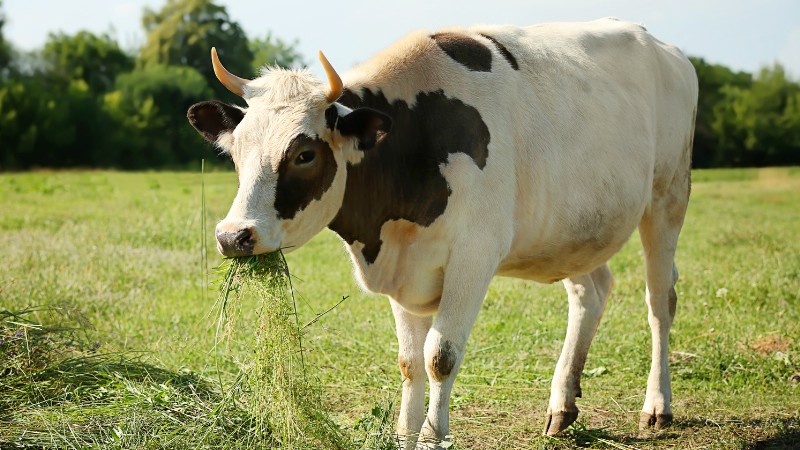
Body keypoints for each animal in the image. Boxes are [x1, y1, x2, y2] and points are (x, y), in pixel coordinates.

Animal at [187, 17, 698, 448]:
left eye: (304, 155)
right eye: (235, 149)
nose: (233, 236)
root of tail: (665, 48)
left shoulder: (475, 255)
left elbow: (440, 356)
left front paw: (433, 437)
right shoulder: (402, 267)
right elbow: (410, 363)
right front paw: (404, 436)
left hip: (667, 198)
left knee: (660, 300)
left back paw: (657, 405)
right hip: (571, 229)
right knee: (591, 292)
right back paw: (562, 405)